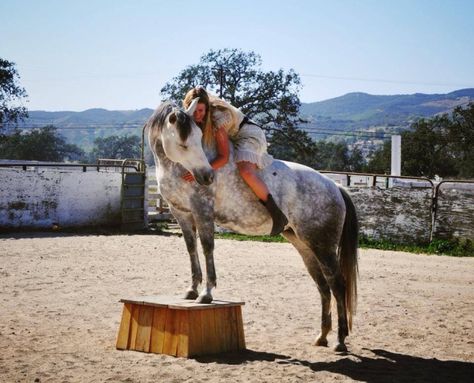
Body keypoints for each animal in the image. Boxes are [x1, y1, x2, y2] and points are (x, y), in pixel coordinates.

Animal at [146, 100, 358, 352]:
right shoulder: (182, 214)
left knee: (338, 286)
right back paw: (322, 336)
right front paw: (191, 290)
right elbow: (191, 249)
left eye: (198, 138)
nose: (207, 177)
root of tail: (336, 187)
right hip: (305, 247)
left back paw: (340, 341)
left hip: (323, 247)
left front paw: (206, 294)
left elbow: (207, 248)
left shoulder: (202, 211)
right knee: (323, 287)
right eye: (184, 143)